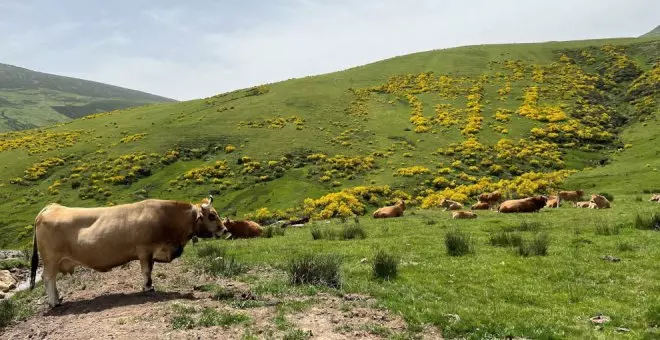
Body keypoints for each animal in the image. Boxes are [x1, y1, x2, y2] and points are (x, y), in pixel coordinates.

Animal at [30, 194, 227, 308]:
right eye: (211, 215)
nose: (225, 230)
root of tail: (52, 207)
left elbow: (150, 270)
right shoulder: (144, 250)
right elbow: (146, 271)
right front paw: (148, 287)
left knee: (52, 280)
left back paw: (58, 298)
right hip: (51, 259)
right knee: (48, 278)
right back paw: (54, 302)